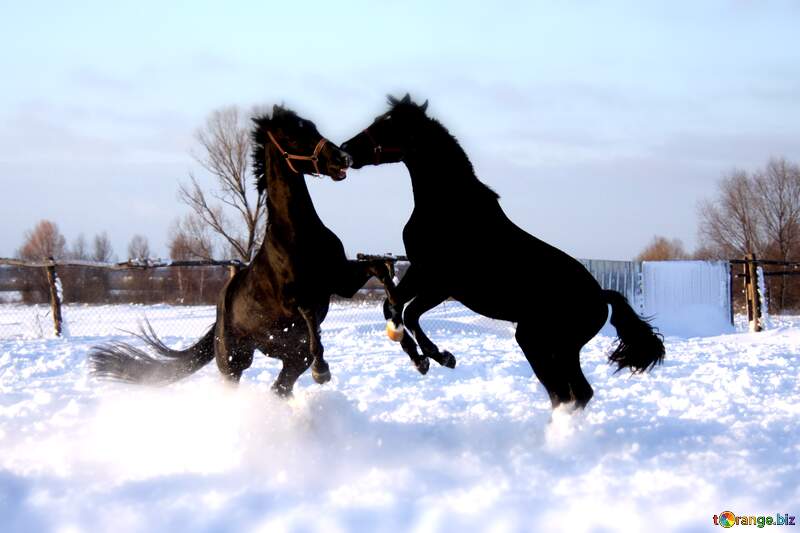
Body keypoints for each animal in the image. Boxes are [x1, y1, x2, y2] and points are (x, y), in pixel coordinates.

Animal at [92, 105, 400, 394]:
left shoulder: (340, 281)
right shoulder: (292, 300)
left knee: (280, 387)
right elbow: (308, 311)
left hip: (291, 359)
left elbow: (380, 268)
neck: (299, 234)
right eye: (293, 135)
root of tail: (218, 315)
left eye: (313, 128)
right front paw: (321, 370)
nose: (342, 159)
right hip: (235, 362)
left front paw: (397, 316)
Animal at [340, 94, 664, 408]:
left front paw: (441, 357)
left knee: (572, 392)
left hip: (547, 343)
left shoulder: (440, 282)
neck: (447, 207)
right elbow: (392, 307)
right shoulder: (420, 272)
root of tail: (601, 297)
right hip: (542, 344)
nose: (345, 150)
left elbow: (408, 314)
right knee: (568, 393)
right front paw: (420, 359)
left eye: (388, 124)